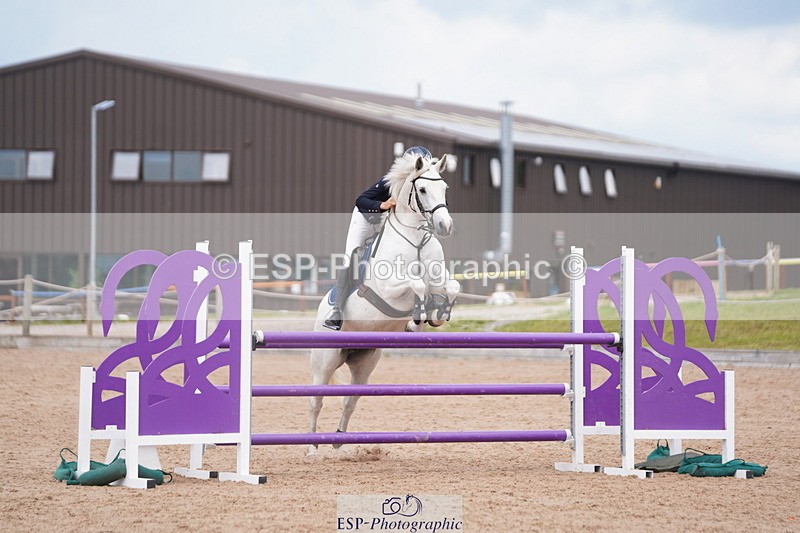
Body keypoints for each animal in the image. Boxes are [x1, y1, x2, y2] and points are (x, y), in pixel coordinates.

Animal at [307, 152, 461, 455]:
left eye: (445, 188)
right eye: (422, 189)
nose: (445, 226)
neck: (415, 240)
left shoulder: (440, 279)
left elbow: (450, 288)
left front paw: (436, 314)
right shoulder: (390, 288)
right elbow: (417, 285)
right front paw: (417, 319)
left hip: (364, 363)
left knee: (349, 401)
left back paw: (338, 442)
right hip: (325, 361)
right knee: (316, 401)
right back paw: (311, 448)